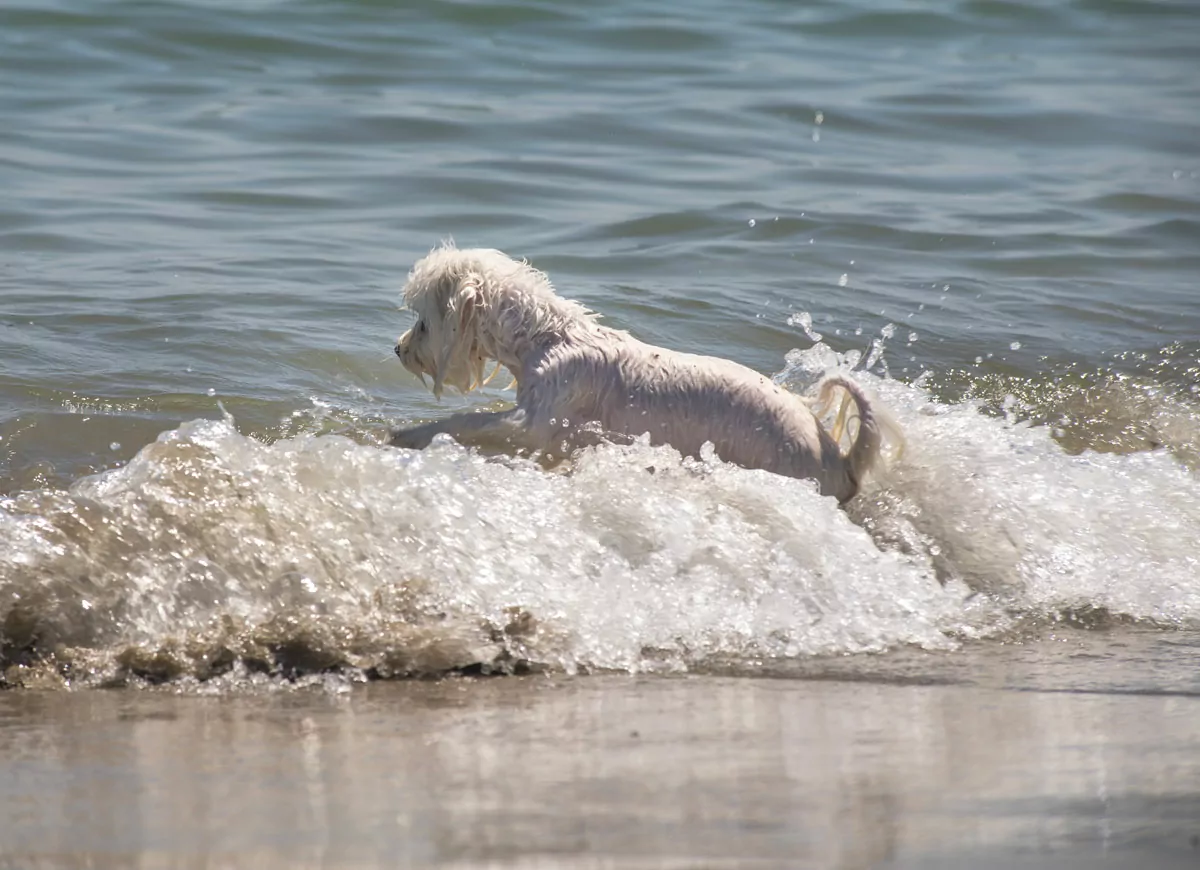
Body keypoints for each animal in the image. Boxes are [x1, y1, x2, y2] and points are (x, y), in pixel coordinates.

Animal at [388, 244, 888, 501]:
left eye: (424, 322)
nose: (398, 349)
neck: (549, 337)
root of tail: (840, 460)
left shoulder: (538, 419)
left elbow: (472, 422)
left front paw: (410, 435)